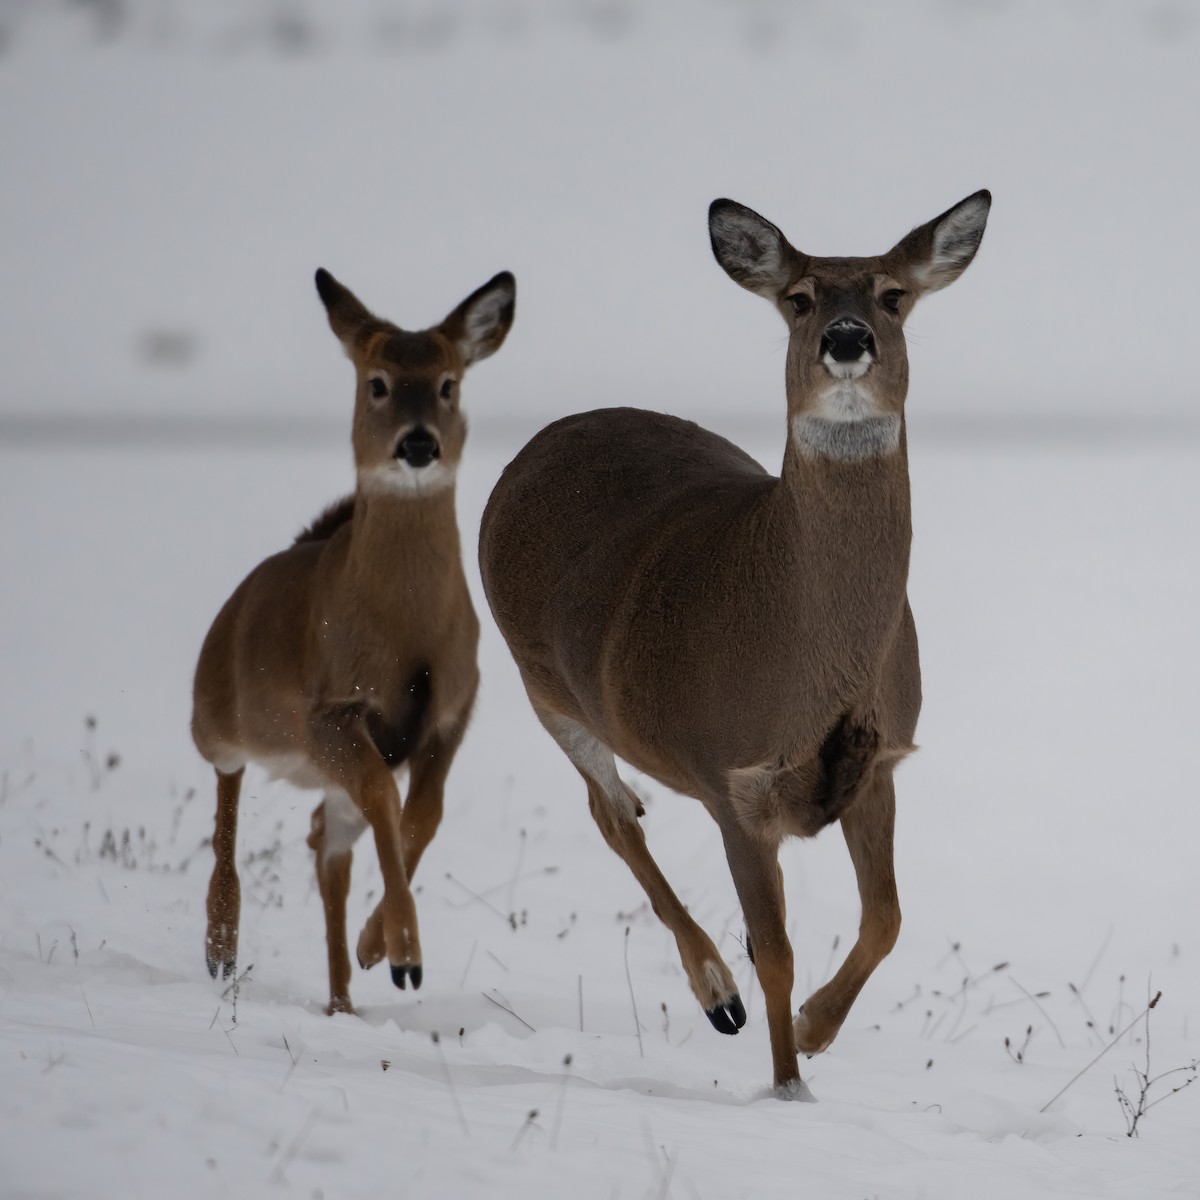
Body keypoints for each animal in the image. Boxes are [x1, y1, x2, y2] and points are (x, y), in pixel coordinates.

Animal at [192, 266, 515, 1015]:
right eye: (378, 383)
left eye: (449, 383)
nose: (419, 443)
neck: (406, 627)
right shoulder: (331, 710)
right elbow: (388, 805)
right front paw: (405, 953)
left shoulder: (453, 709)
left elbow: (422, 815)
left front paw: (380, 949)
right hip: (215, 713)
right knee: (229, 795)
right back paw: (221, 946)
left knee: (325, 836)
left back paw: (342, 998)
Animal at [478, 192, 989, 1097]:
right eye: (799, 297)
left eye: (893, 295)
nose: (847, 338)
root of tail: (538, 444)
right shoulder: (734, 781)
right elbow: (781, 954)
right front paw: (787, 1086)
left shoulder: (880, 760)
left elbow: (887, 918)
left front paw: (817, 1031)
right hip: (542, 682)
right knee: (611, 814)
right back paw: (720, 995)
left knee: (620, 814)